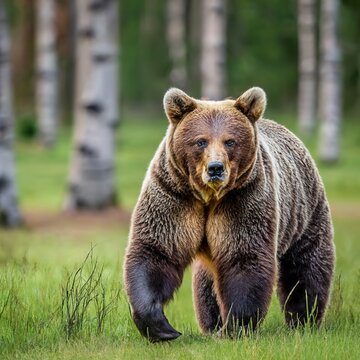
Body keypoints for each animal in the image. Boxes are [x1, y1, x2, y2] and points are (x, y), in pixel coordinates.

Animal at [123, 86, 334, 342]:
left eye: (230, 141)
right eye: (200, 141)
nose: (215, 168)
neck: (209, 196)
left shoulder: (244, 198)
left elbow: (243, 256)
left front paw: (235, 327)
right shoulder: (174, 193)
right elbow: (157, 248)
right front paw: (162, 327)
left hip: (304, 213)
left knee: (306, 267)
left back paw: (304, 319)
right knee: (206, 284)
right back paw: (212, 322)